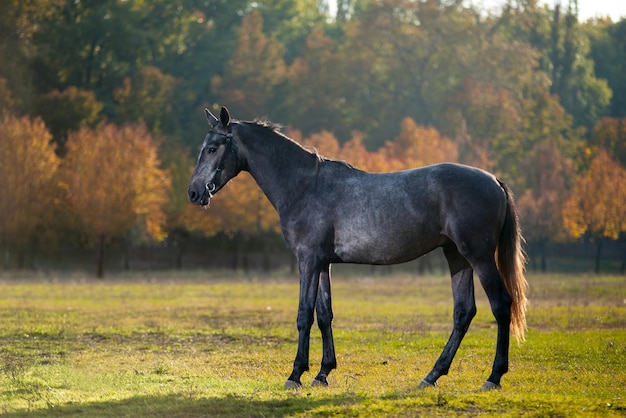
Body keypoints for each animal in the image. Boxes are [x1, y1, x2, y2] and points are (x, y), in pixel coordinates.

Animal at [186, 106, 528, 390]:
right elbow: (324, 314)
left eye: (213, 148)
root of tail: (494, 180)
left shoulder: (307, 260)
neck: (305, 186)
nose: (194, 192)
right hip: (457, 257)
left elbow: (303, 315)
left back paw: (493, 377)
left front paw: (295, 374)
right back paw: (432, 376)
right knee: (463, 312)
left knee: (501, 305)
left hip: (479, 257)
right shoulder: (323, 263)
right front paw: (323, 373)